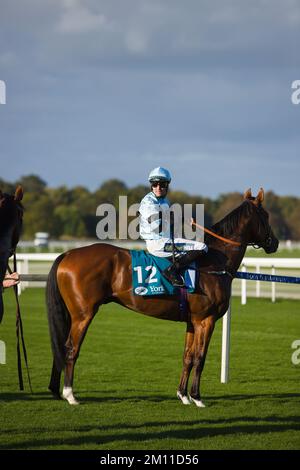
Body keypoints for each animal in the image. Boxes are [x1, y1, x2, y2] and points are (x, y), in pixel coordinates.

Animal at [47, 189, 278, 406]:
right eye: (266, 215)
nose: (274, 243)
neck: (214, 263)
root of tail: (67, 254)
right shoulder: (206, 320)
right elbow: (200, 358)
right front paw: (197, 397)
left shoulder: (192, 322)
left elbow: (187, 357)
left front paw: (183, 395)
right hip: (83, 314)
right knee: (71, 348)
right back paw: (70, 395)